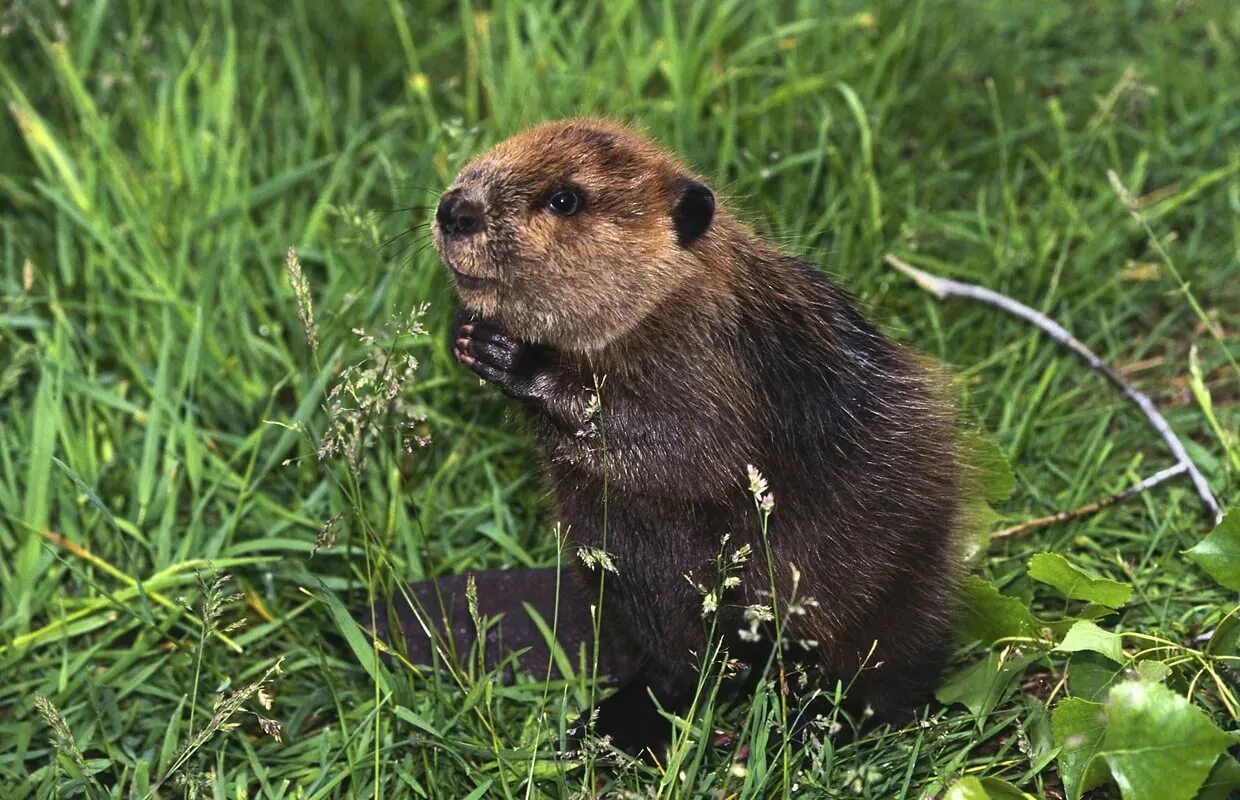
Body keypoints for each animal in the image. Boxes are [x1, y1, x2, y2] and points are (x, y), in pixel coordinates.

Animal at [381, 117, 962, 749]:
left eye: (564, 199)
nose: (455, 209)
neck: (669, 298)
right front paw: (466, 334)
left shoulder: (711, 356)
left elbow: (691, 448)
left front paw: (513, 358)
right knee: (670, 666)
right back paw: (605, 726)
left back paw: (813, 725)